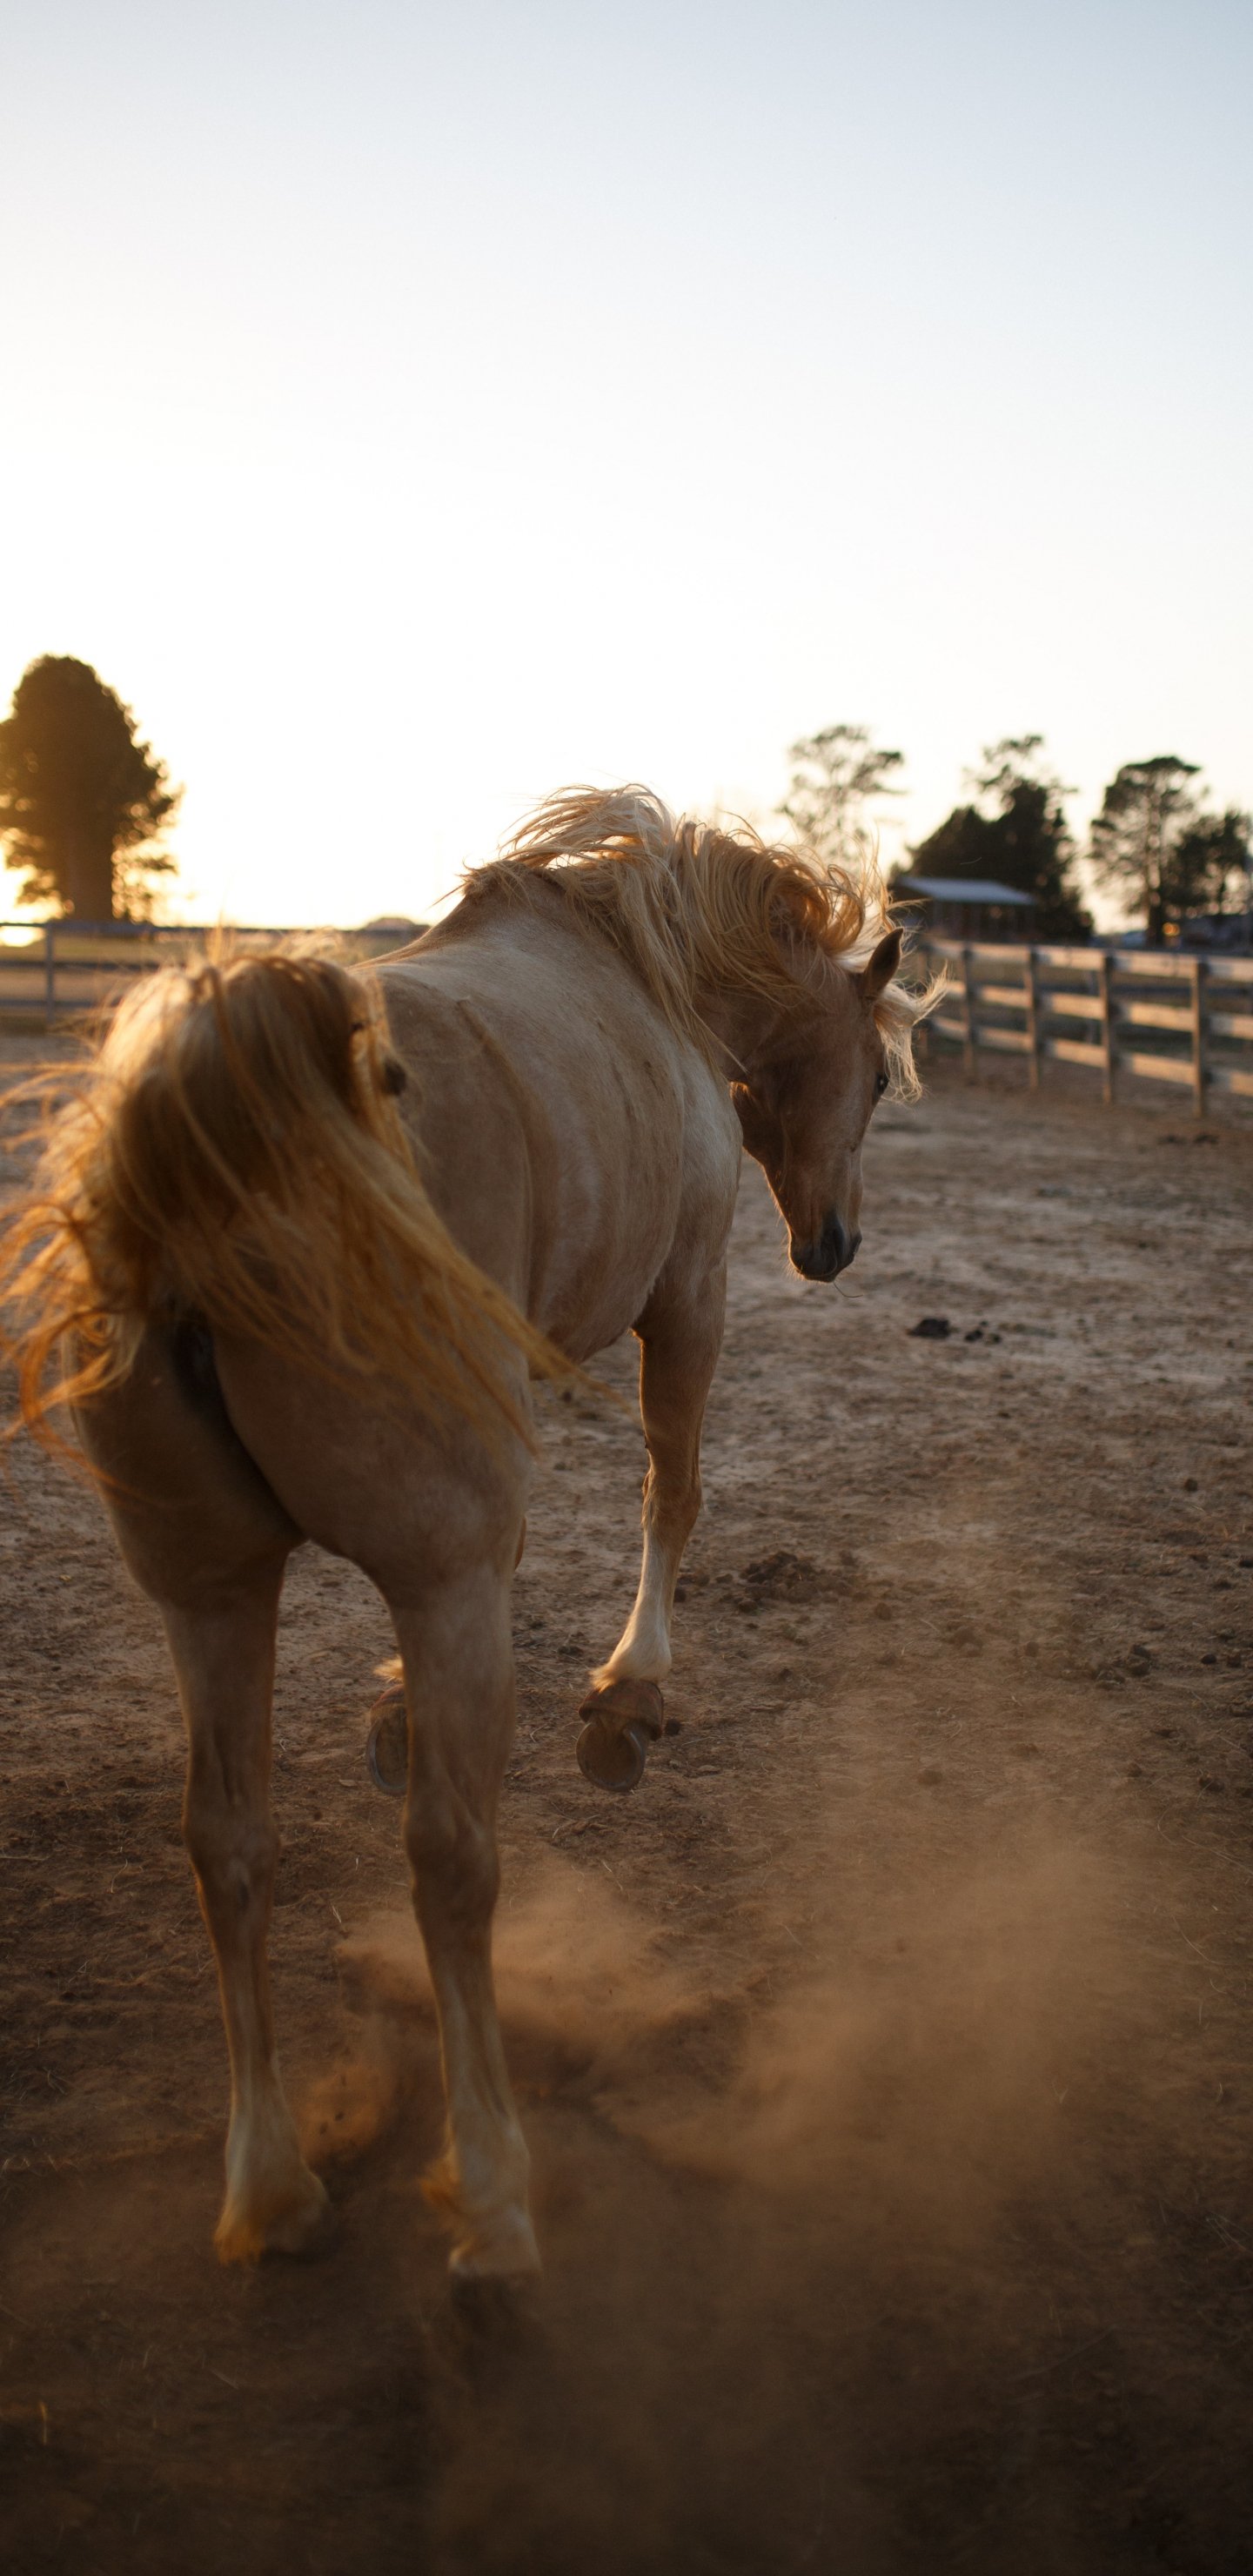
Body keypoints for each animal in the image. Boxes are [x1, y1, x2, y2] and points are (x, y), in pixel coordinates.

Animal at [1, 787, 928, 2285]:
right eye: (883, 1080)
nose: (835, 1243)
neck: (647, 968)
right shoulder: (689, 1299)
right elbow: (673, 1492)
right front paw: (630, 1697)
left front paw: (392, 1707)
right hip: (429, 1576)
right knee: (447, 1859)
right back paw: (491, 2195)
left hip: (211, 1592)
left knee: (229, 1847)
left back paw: (270, 2187)